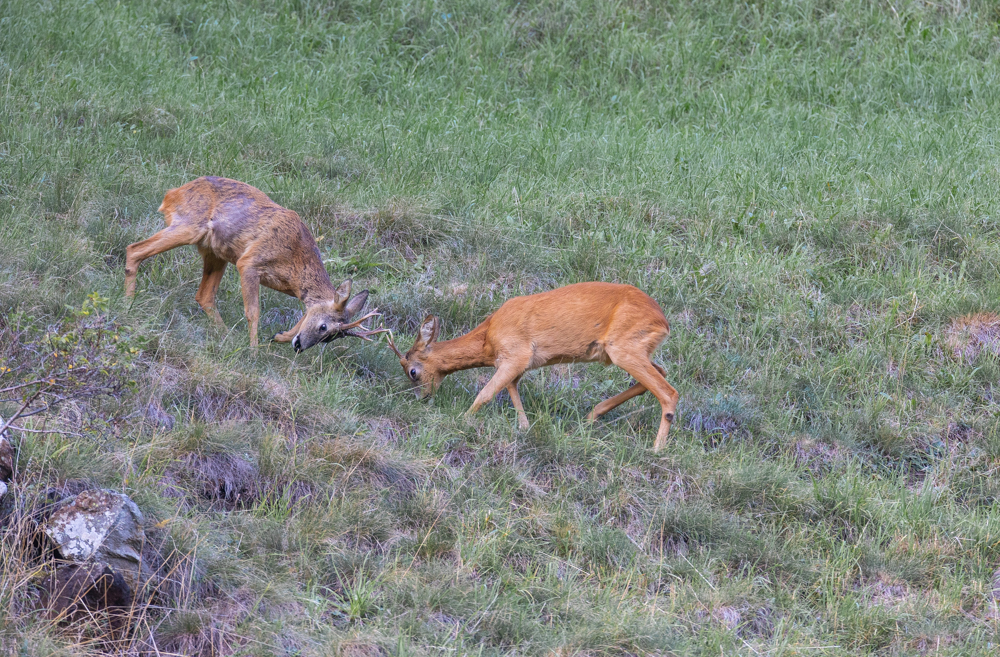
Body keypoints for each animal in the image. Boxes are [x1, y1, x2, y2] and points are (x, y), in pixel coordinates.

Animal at [124, 176, 386, 351]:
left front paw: (279, 336)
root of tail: (172, 193)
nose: (300, 346)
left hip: (216, 253)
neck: (295, 262)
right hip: (189, 226)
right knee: (134, 249)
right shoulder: (249, 262)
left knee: (204, 295)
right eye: (324, 328)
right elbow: (253, 311)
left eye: (332, 338)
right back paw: (128, 303)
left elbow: (304, 312)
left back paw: (226, 335)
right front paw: (254, 350)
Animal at [385, 282, 680, 451]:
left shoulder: (517, 353)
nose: (423, 398)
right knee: (661, 372)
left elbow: (486, 393)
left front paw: (462, 420)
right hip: (633, 349)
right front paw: (524, 427)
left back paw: (656, 449)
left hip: (624, 347)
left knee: (669, 391)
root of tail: (663, 322)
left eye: (412, 372)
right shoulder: (520, 362)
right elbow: (513, 389)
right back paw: (591, 415)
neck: (488, 339)